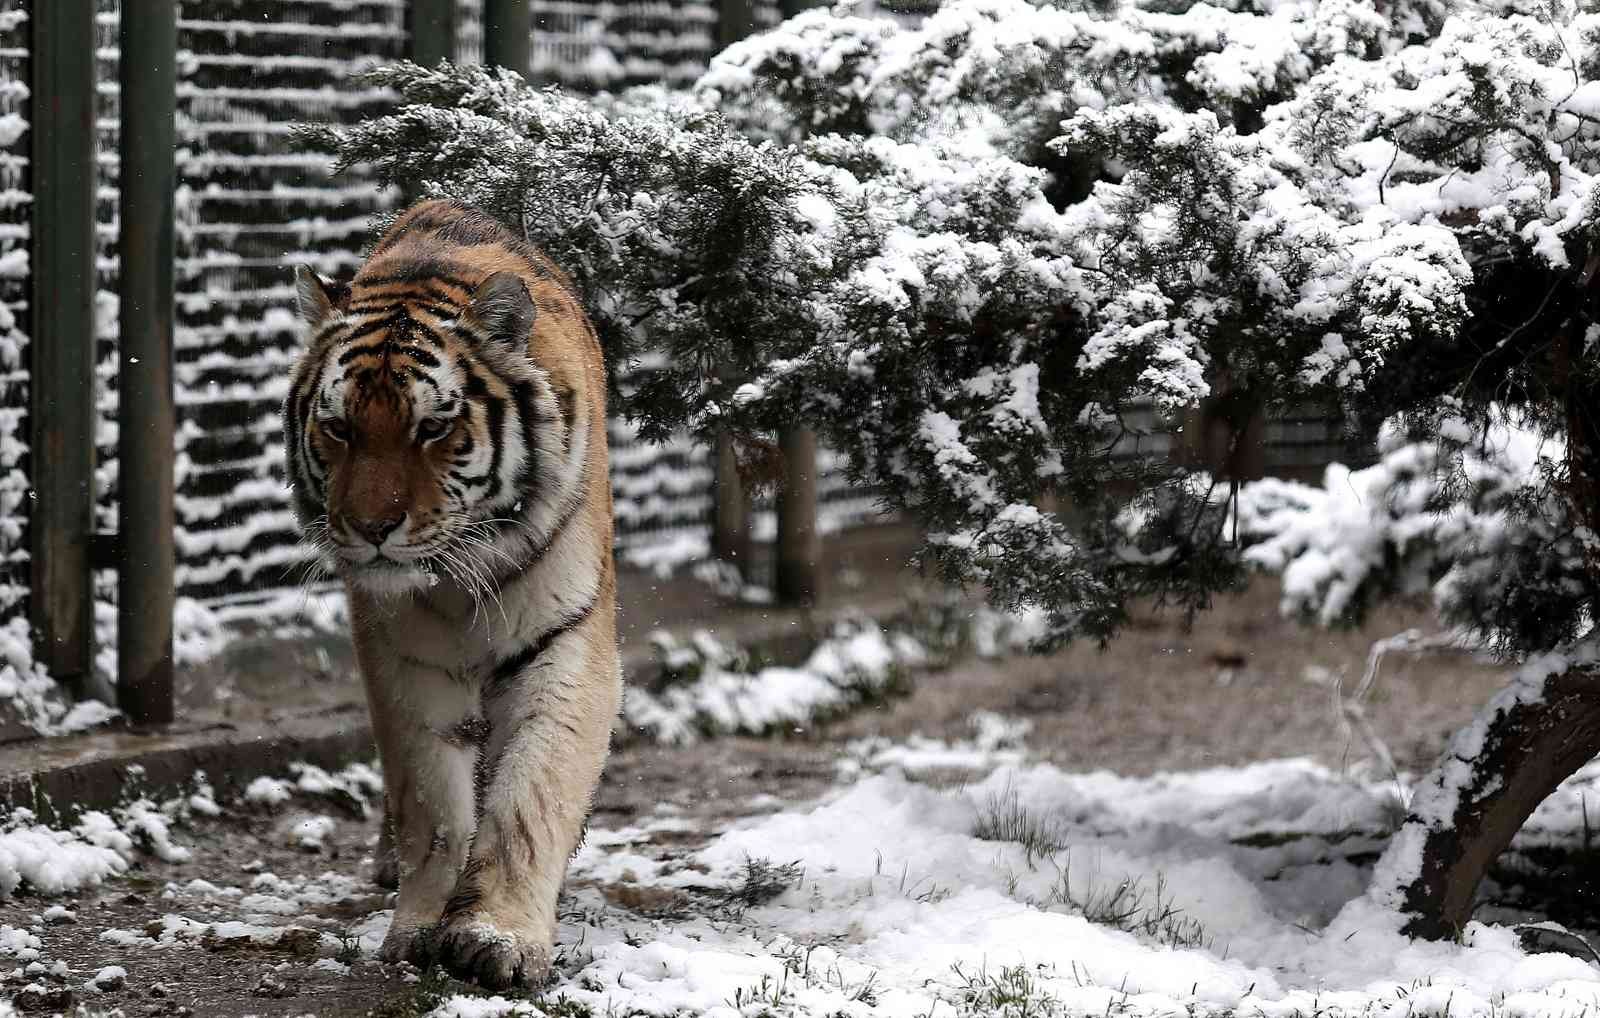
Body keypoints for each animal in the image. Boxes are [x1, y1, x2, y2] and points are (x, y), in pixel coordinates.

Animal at [281, 196, 617, 985]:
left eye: (433, 427)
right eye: (338, 427)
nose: (371, 527)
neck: (463, 577)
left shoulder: (567, 639)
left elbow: (533, 792)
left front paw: (498, 939)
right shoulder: (404, 660)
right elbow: (431, 804)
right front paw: (421, 928)